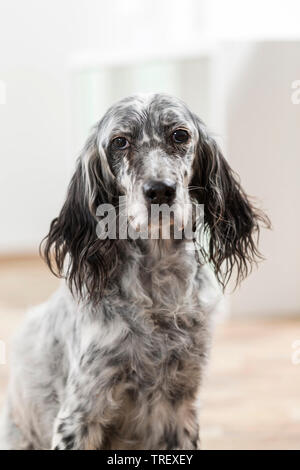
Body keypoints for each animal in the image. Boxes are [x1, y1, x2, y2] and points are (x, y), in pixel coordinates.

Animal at [0, 93, 268, 450]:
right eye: (120, 141)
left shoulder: (181, 407)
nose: (160, 191)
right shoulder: (80, 414)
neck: (158, 289)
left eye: (180, 135)